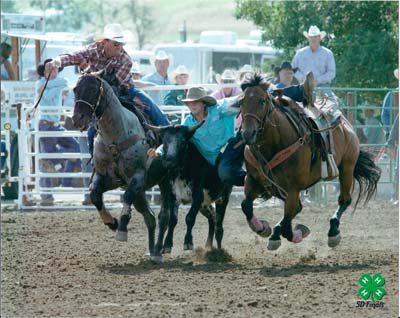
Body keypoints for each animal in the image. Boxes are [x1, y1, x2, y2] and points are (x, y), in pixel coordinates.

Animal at [72, 74, 172, 260]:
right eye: (75, 89)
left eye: (93, 90)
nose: (77, 119)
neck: (115, 136)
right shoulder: (104, 178)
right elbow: (95, 196)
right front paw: (112, 222)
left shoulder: (137, 176)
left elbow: (127, 196)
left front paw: (122, 229)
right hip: (141, 194)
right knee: (150, 217)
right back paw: (151, 251)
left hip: (167, 182)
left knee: (165, 216)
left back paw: (159, 251)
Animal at [238, 74, 382, 251]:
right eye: (241, 102)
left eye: (262, 101)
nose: (247, 134)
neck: (274, 143)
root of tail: (345, 123)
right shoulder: (253, 179)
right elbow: (246, 205)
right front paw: (262, 228)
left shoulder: (293, 188)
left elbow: (288, 227)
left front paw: (298, 232)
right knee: (297, 208)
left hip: (347, 168)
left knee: (344, 200)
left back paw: (333, 232)